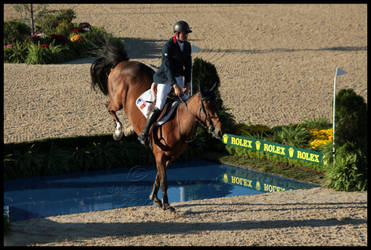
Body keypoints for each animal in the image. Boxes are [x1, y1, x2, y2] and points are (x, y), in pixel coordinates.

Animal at [90, 38, 222, 212]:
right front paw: (166, 204)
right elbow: (164, 180)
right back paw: (119, 131)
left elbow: (158, 177)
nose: (219, 131)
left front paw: (155, 199)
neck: (178, 125)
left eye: (217, 104)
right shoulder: (159, 154)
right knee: (109, 107)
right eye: (206, 106)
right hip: (117, 100)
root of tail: (123, 62)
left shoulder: (169, 157)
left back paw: (129, 129)